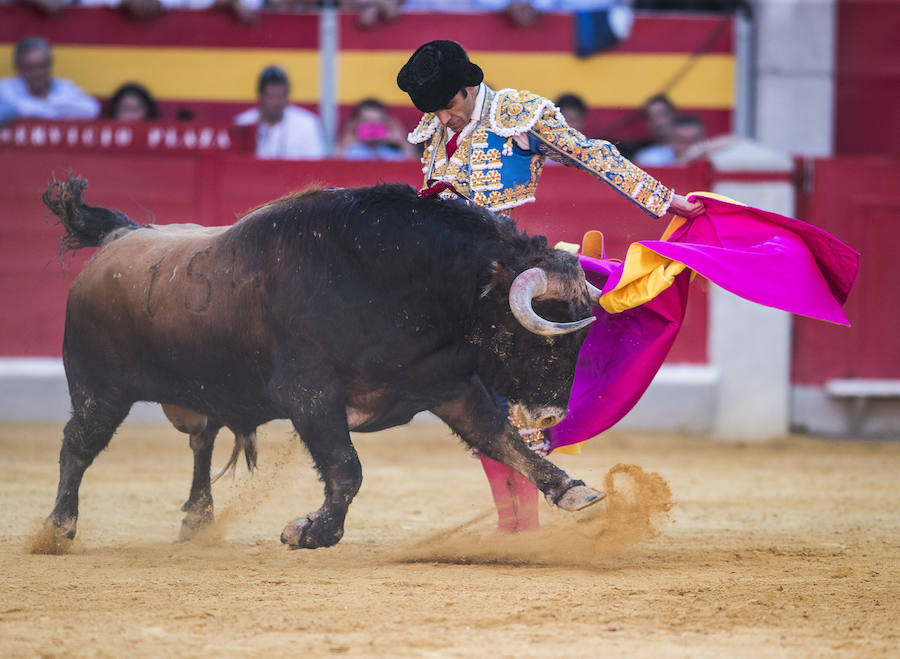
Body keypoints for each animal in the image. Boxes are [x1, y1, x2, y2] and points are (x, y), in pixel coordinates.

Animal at [40, 177, 604, 552]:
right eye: (544, 336)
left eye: (582, 340)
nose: (552, 416)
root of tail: (117, 239)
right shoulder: (309, 396)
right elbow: (345, 468)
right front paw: (310, 531)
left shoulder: (450, 387)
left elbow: (504, 442)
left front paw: (572, 489)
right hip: (99, 389)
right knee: (77, 447)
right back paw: (57, 529)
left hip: (202, 390)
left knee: (201, 443)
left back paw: (197, 522)